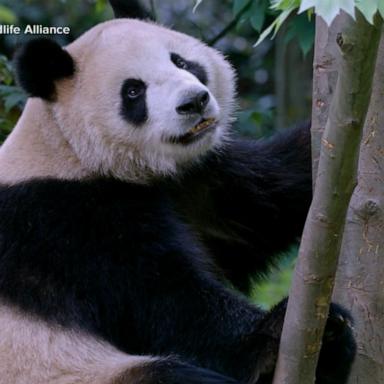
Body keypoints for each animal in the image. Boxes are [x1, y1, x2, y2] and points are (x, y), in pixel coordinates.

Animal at [0, 1, 356, 382]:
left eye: (181, 62)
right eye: (133, 91)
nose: (194, 101)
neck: (67, 148)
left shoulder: (199, 180)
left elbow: (269, 202)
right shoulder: (65, 221)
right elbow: (163, 299)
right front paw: (273, 334)